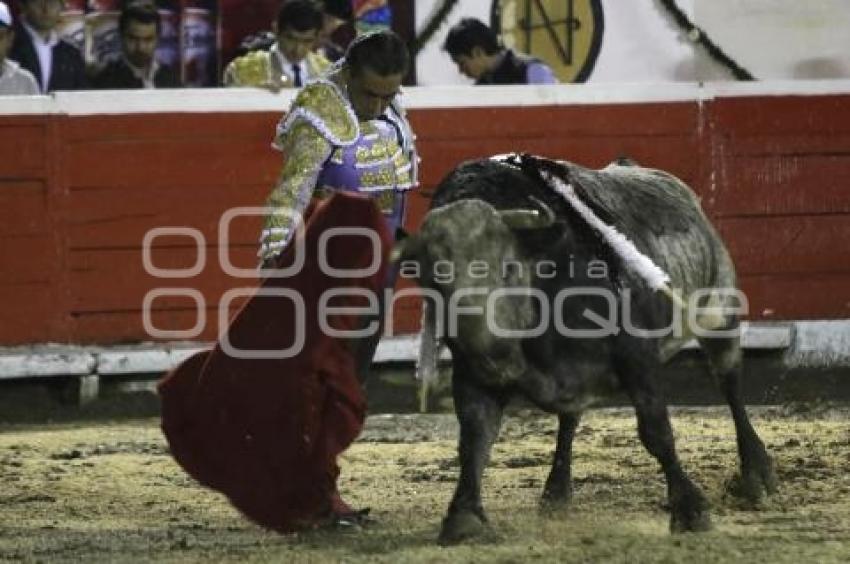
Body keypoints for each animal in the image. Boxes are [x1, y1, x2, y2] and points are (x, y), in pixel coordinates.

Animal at [398, 155, 776, 548]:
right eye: (435, 283)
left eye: (508, 269)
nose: (497, 361)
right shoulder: (471, 373)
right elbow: (475, 440)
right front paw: (464, 518)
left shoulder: (637, 358)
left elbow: (656, 431)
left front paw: (690, 510)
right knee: (569, 419)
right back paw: (556, 493)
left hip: (719, 310)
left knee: (729, 382)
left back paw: (755, 474)